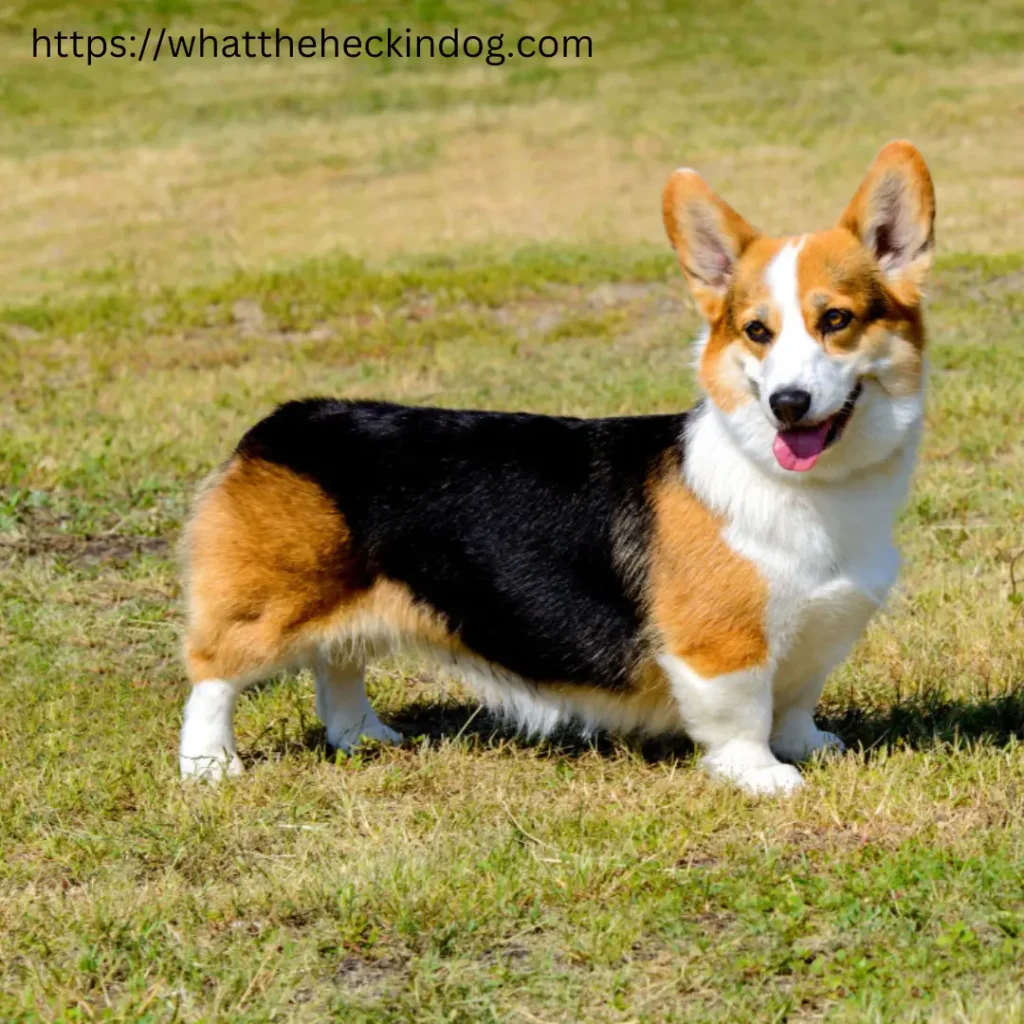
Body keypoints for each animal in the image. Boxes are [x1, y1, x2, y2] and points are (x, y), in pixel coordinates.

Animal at [178, 140, 937, 790]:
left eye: (836, 320)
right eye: (757, 331)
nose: (788, 403)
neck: (811, 488)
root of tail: (285, 422)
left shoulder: (821, 630)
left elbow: (796, 700)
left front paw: (812, 747)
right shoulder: (722, 646)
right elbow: (742, 715)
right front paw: (764, 777)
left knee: (338, 659)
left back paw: (363, 736)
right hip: (267, 606)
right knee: (213, 672)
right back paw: (209, 765)